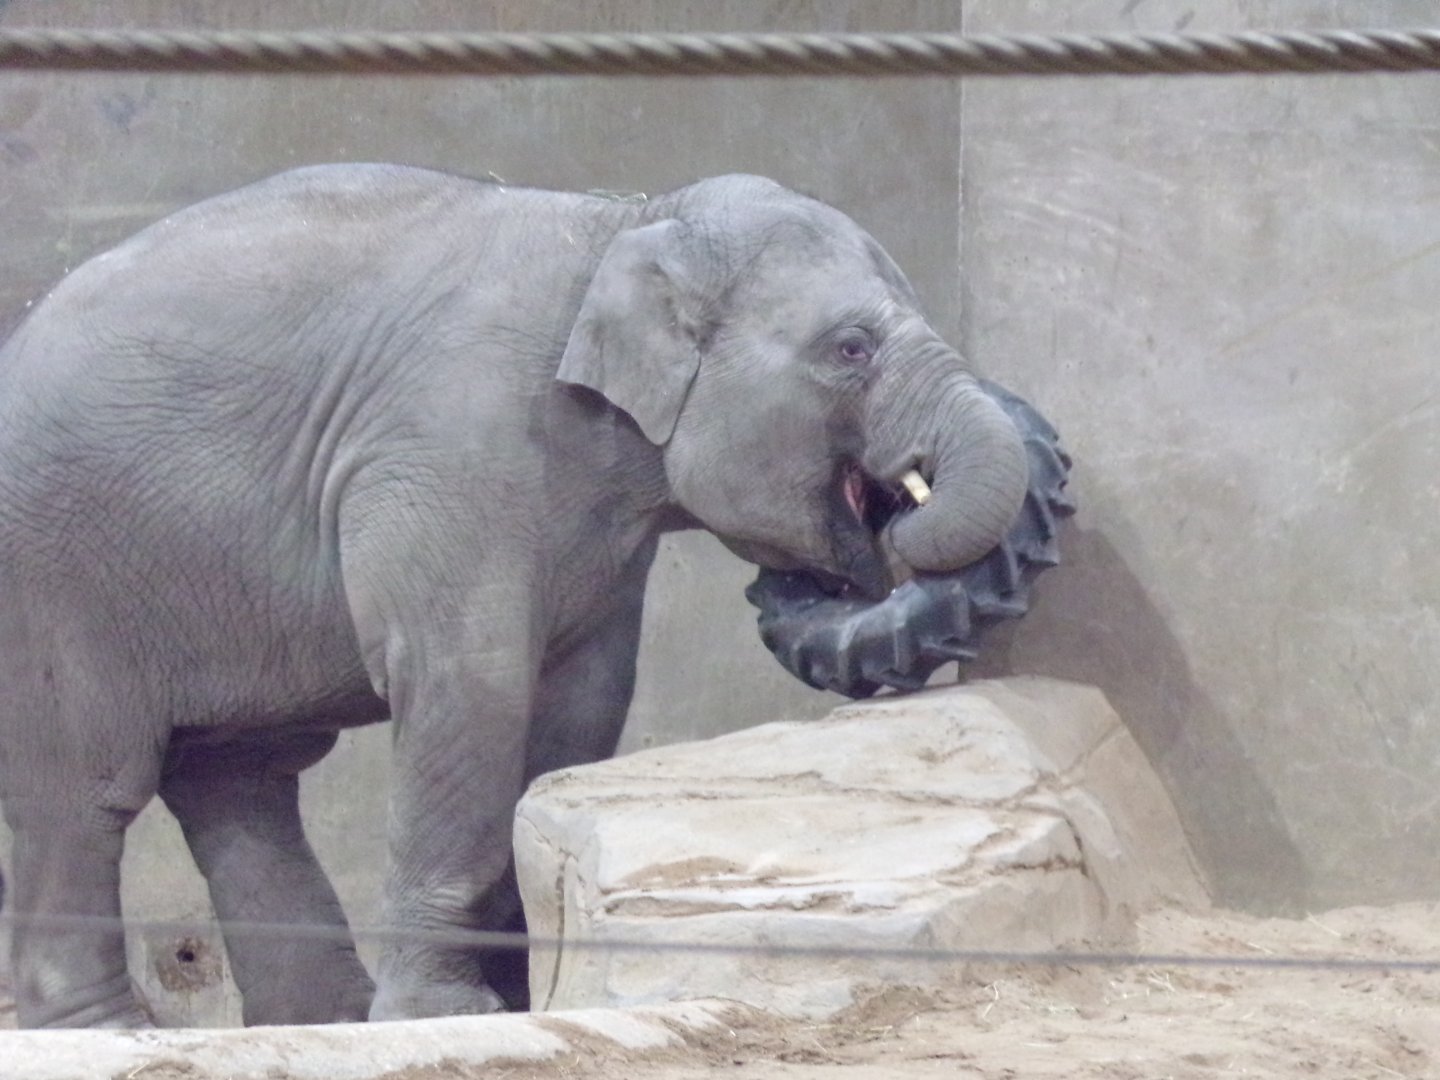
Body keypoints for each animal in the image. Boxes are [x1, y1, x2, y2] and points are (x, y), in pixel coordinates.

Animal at [0, 165, 1029, 1028]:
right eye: (851, 348)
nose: (900, 517)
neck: (627, 220)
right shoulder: (453, 450)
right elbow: (473, 685)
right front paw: (448, 1015)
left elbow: (581, 704)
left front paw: (519, 993)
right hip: (57, 576)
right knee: (87, 791)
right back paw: (110, 1034)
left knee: (240, 783)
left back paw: (321, 1020)